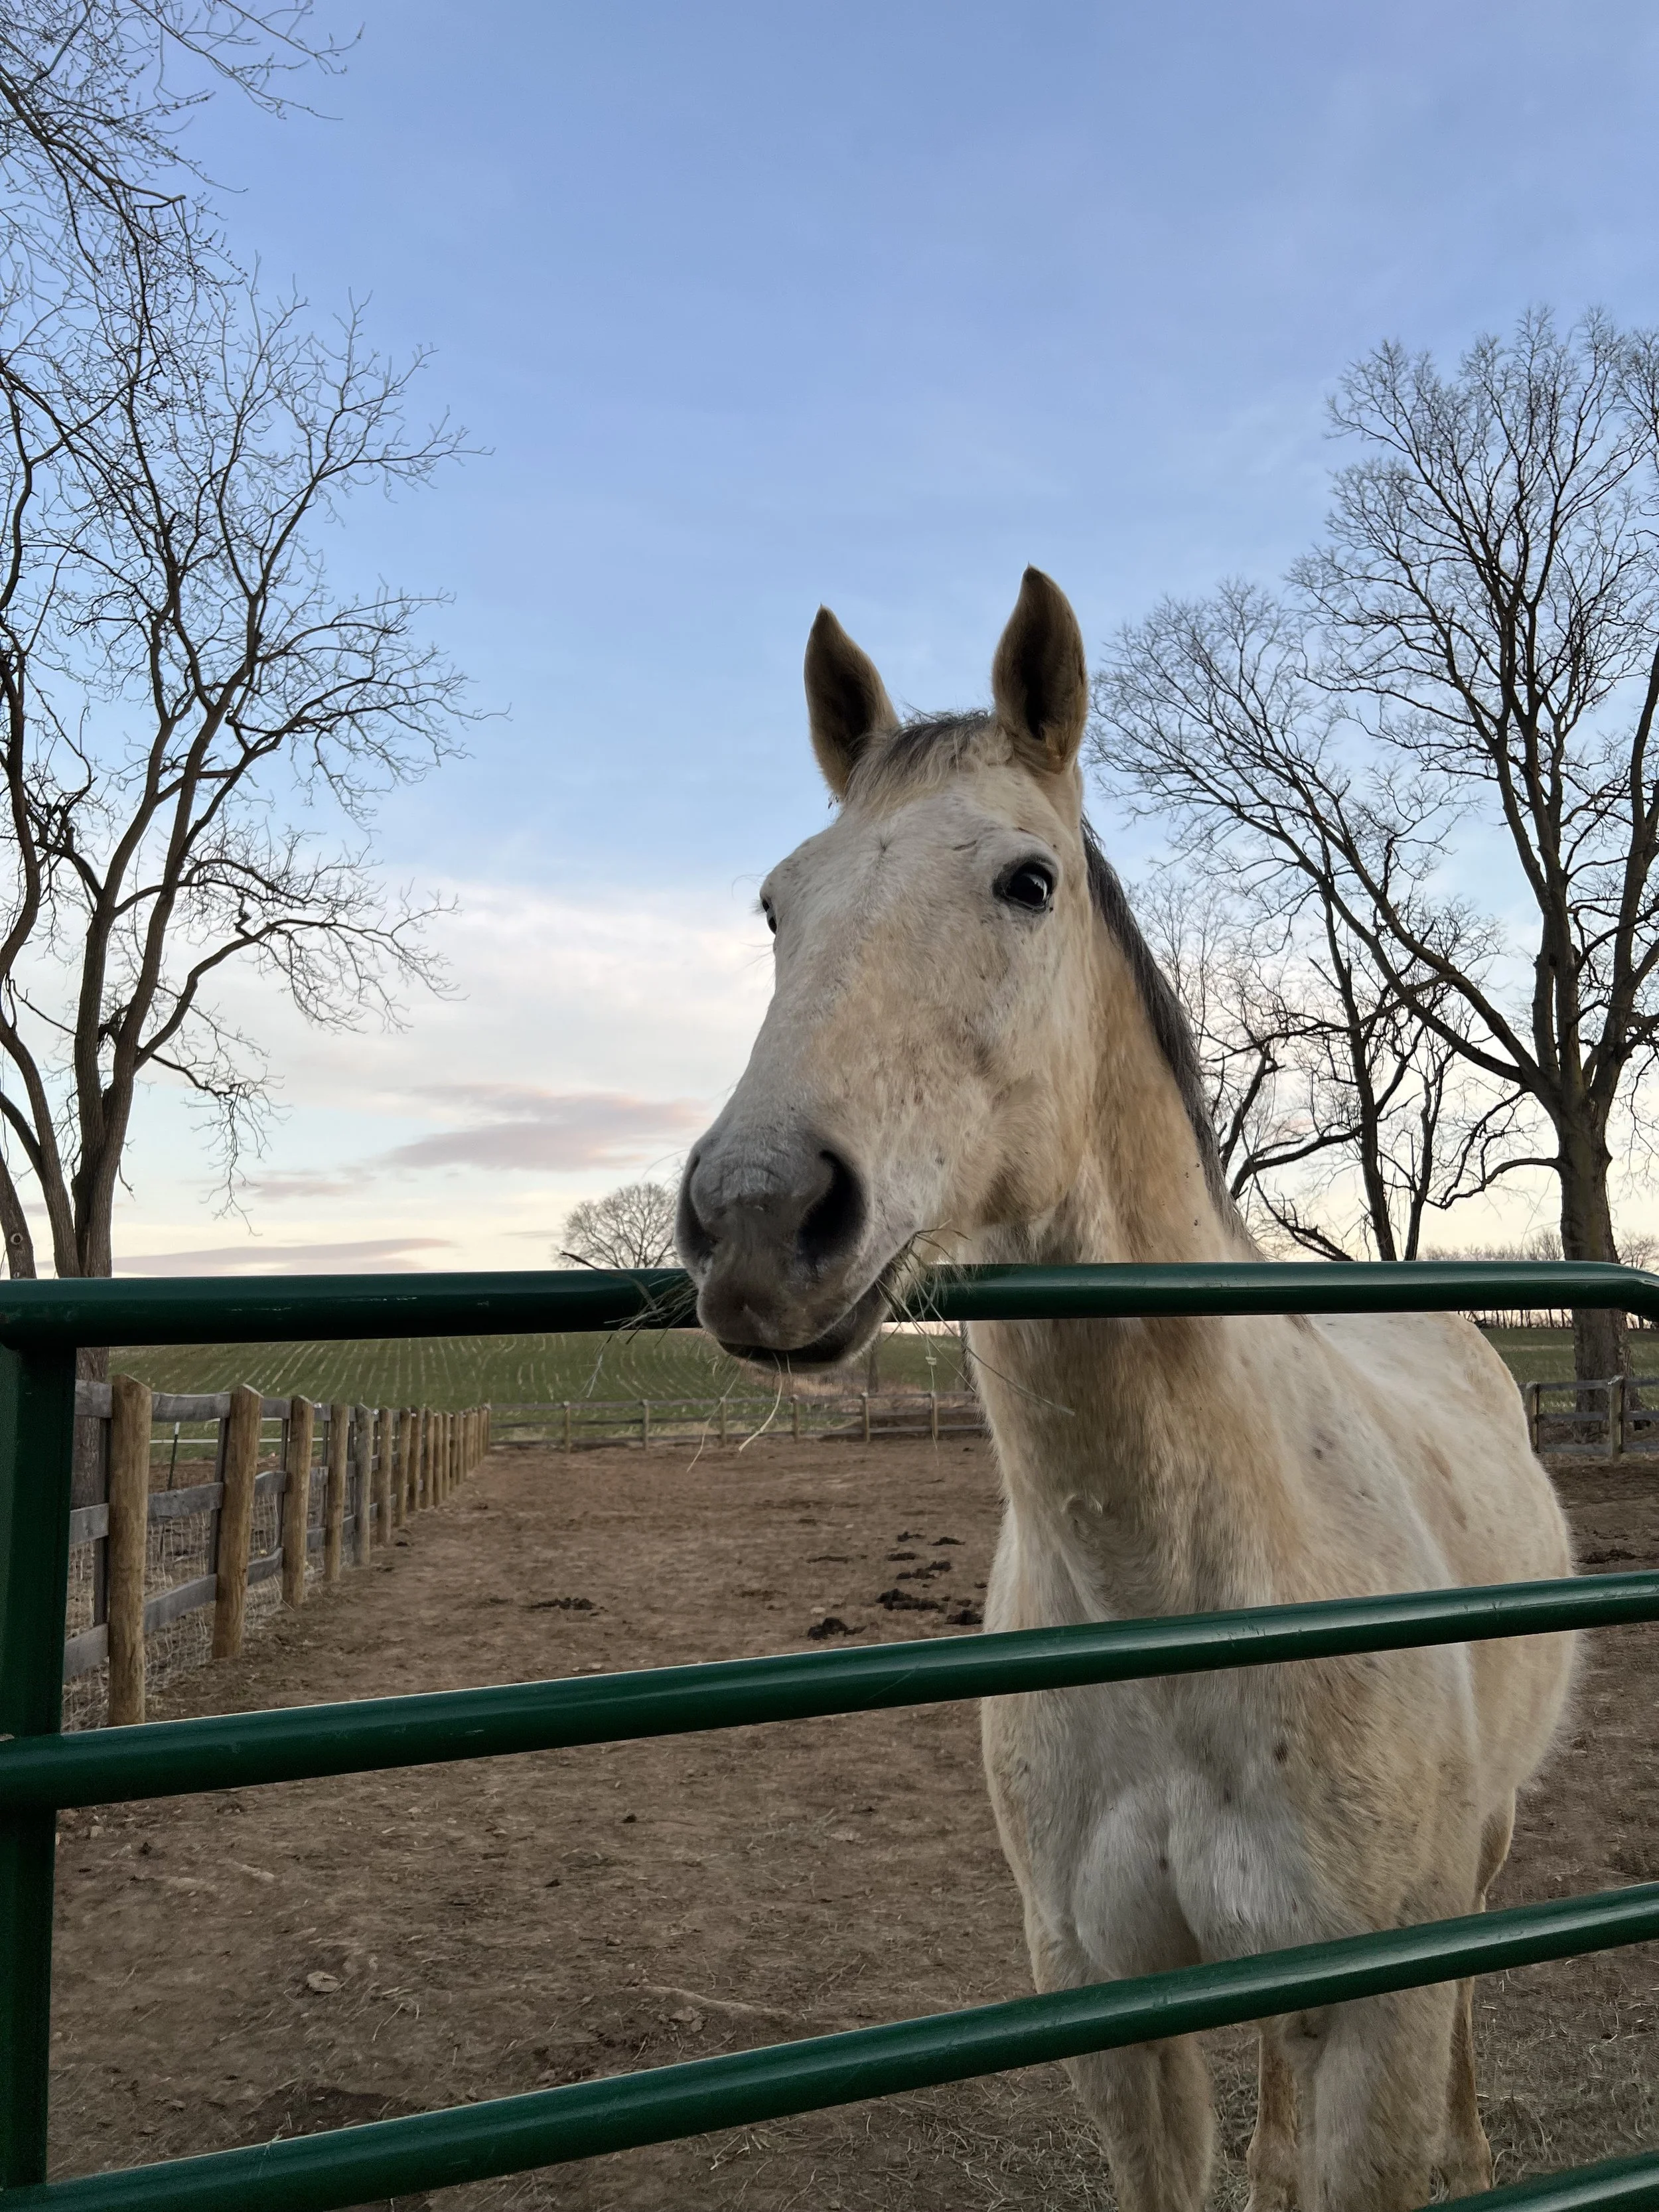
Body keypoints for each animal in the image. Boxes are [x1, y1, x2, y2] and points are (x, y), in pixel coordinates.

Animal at [674, 568, 1575, 2211]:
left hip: (1474, 1866)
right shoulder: (1112, 2010)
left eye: (1026, 882)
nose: (759, 1214)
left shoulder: (1382, 2019)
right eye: (779, 904)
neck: (1187, 1593)